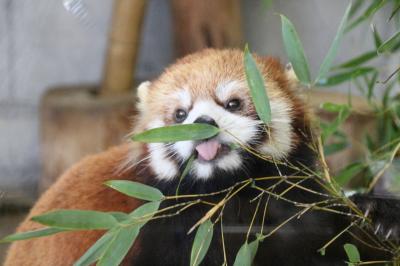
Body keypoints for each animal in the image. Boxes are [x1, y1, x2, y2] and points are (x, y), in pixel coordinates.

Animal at [3, 49, 400, 264]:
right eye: (181, 115)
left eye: (233, 103)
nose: (203, 124)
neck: (231, 192)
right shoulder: (164, 232)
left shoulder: (295, 209)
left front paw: (379, 213)